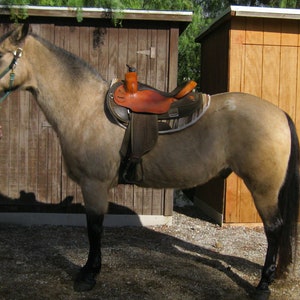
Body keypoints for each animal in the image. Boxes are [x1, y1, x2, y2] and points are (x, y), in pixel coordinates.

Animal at [0, 24, 298, 296]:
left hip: (263, 189)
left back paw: (262, 285)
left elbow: (94, 229)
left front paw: (88, 274)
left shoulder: (94, 185)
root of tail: (280, 114)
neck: (85, 109)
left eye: (1, 54)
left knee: (273, 229)